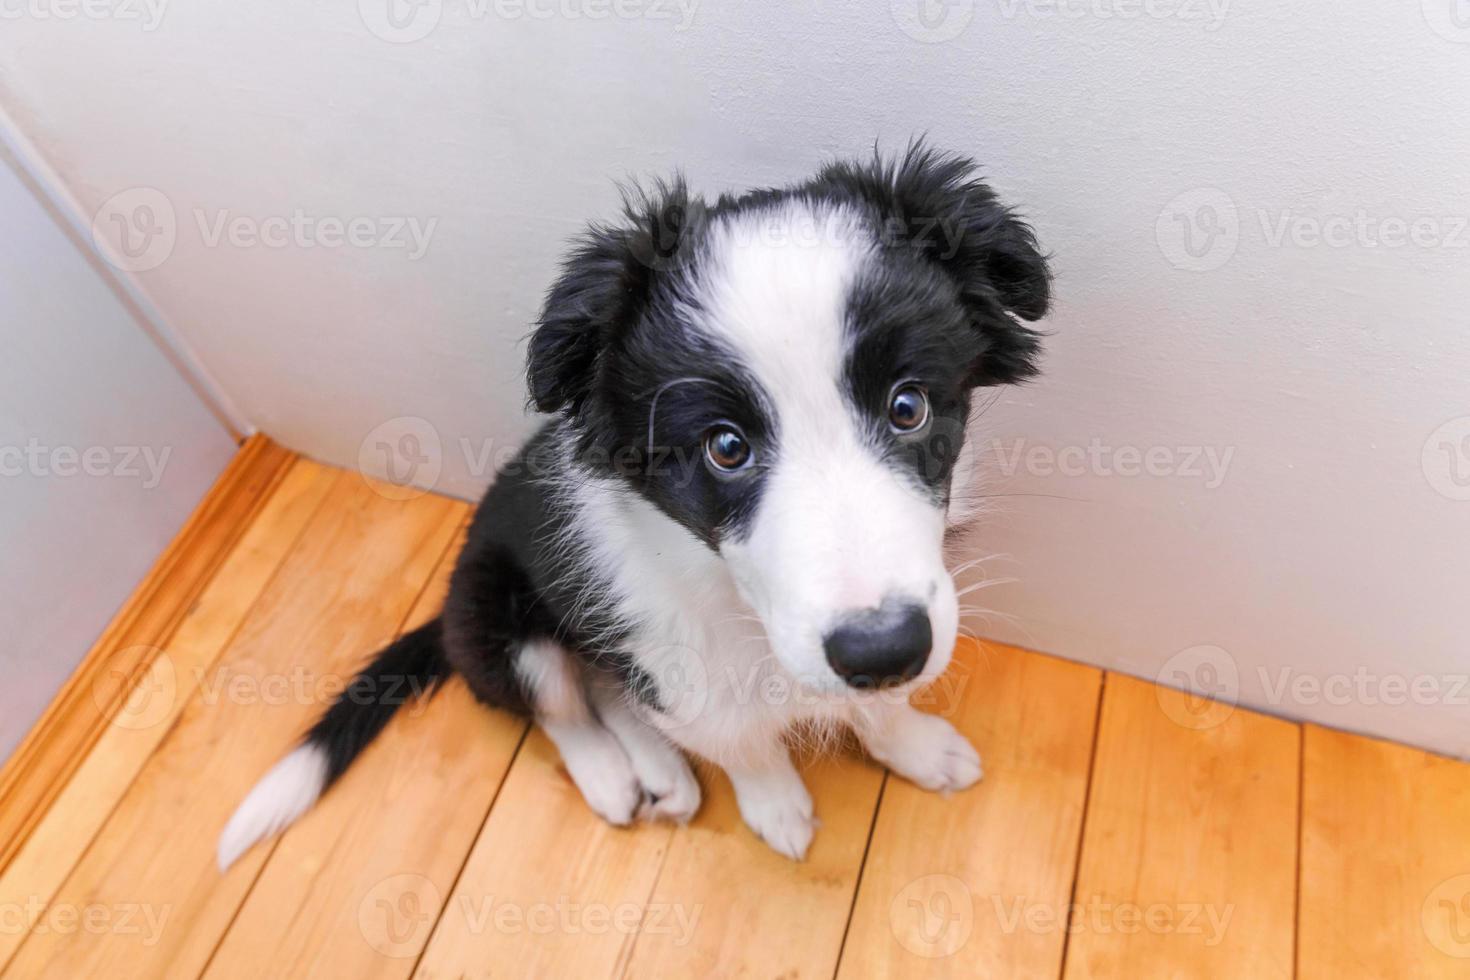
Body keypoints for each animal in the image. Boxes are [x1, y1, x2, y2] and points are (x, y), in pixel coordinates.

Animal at [214, 145, 1046, 863]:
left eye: (908, 407)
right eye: (725, 447)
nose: (882, 648)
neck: (735, 605)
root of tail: (447, 608)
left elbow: (876, 707)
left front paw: (917, 748)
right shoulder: (679, 660)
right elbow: (740, 742)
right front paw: (775, 806)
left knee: (611, 692)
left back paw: (663, 776)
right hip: (500, 622)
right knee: (561, 706)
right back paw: (616, 779)